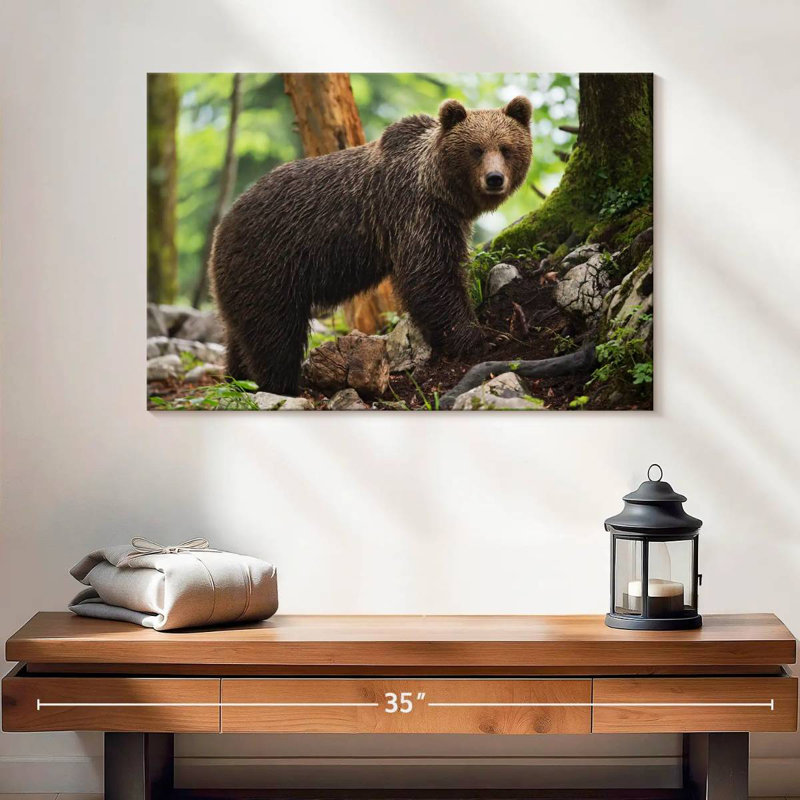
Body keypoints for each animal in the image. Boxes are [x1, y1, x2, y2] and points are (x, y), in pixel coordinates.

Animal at [209, 95, 533, 396]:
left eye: (506, 148)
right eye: (476, 149)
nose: (494, 178)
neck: (441, 188)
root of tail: (221, 228)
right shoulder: (416, 212)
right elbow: (431, 276)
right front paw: (483, 337)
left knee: (240, 333)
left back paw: (237, 379)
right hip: (269, 264)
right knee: (275, 333)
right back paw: (282, 384)